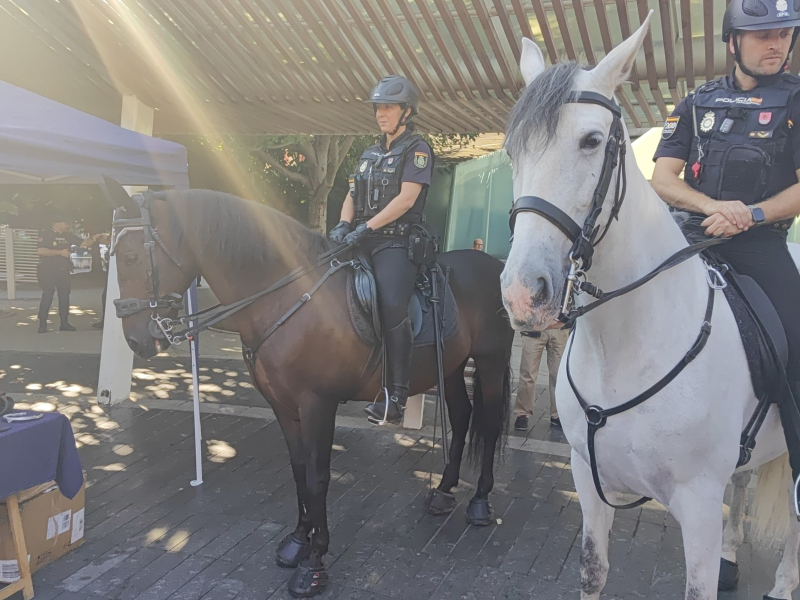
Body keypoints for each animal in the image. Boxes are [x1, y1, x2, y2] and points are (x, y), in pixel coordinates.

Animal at [104, 185, 512, 596]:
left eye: (132, 255)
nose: (136, 340)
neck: (286, 296)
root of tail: (494, 266)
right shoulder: (283, 406)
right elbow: (299, 471)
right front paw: (298, 542)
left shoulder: (318, 405)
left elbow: (318, 478)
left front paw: (314, 563)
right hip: (454, 367)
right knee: (462, 417)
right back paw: (444, 491)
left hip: (490, 362)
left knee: (490, 425)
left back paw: (479, 502)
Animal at [504, 14, 800, 600]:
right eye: (513, 152)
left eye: (592, 140)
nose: (523, 293)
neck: (624, 349)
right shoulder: (588, 482)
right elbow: (593, 571)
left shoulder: (699, 506)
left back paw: (783, 583)